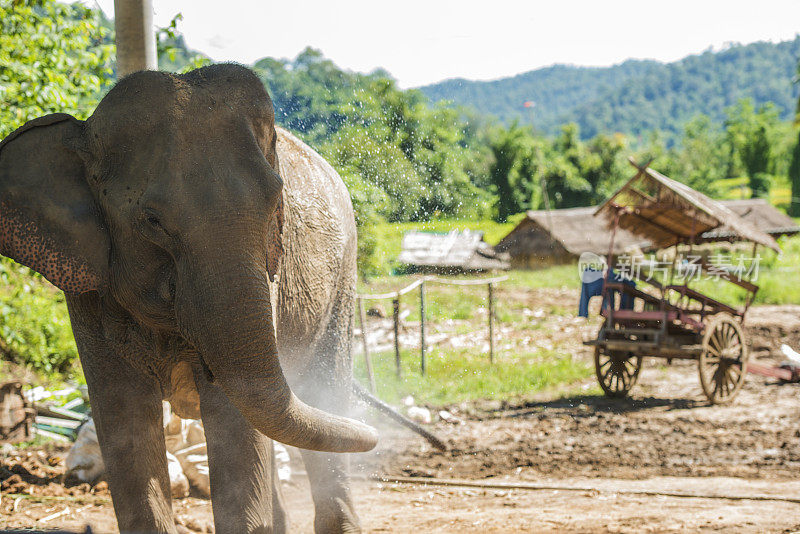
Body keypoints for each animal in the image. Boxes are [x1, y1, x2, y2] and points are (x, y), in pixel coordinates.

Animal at [0, 63, 382, 534]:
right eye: (152, 221)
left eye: (277, 203)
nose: (375, 436)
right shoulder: (88, 284)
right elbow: (123, 414)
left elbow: (234, 423)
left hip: (342, 281)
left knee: (325, 386)